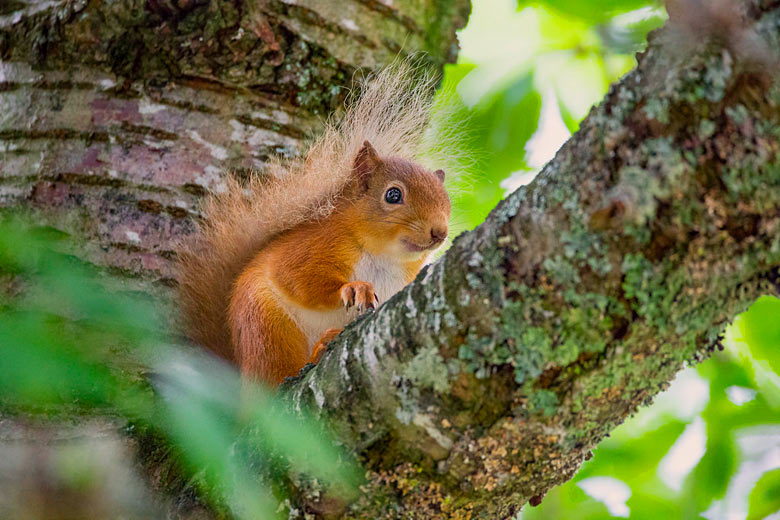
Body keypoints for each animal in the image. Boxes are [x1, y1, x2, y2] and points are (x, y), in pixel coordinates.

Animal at [178, 62, 450, 386]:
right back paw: (318, 350)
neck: (384, 257)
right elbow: (300, 281)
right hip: (266, 327)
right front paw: (354, 288)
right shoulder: (313, 247)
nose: (440, 232)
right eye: (393, 195)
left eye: (447, 202)